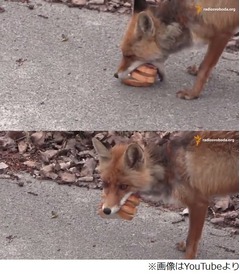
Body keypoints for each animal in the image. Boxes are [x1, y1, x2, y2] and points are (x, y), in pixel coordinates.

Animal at [93, 131, 239, 260]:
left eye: (123, 186)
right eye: (105, 183)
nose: (106, 210)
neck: (168, 168)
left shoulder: (199, 203)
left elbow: (192, 240)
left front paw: (188, 258)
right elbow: (190, 238)